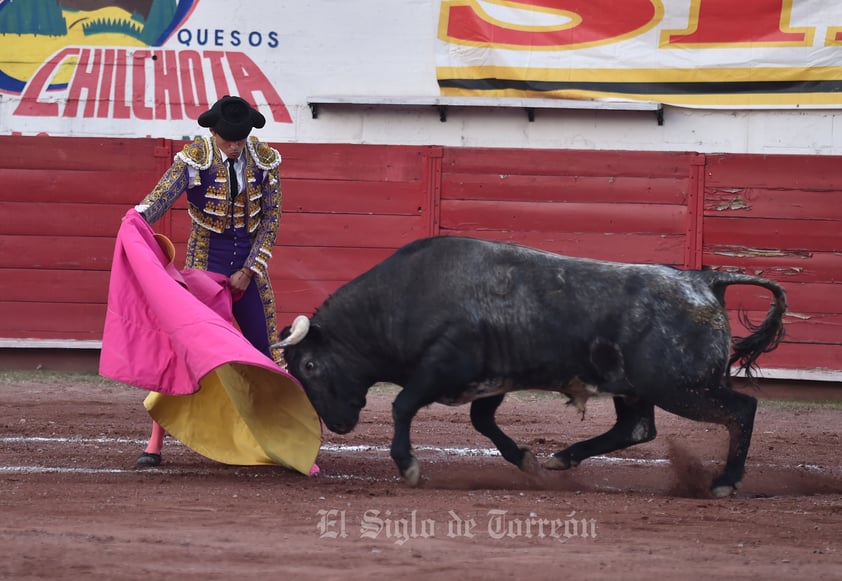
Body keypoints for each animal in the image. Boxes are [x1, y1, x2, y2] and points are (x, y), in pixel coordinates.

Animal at [278, 233, 784, 496]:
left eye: (309, 367)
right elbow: (483, 422)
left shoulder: (440, 367)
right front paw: (527, 460)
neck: (402, 299)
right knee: (636, 429)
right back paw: (563, 458)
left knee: (741, 410)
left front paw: (408, 467)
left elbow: (402, 405)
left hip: (680, 387)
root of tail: (703, 281)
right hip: (636, 388)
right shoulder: (491, 381)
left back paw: (725, 482)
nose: (338, 426)